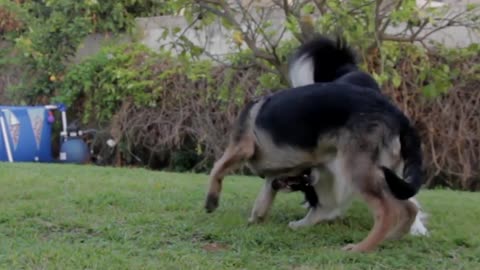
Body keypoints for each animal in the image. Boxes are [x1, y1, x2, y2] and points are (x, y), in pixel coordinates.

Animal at [204, 34, 426, 252]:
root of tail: (398, 116)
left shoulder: (241, 147)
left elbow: (217, 168)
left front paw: (211, 201)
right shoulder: (275, 175)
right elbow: (263, 198)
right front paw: (254, 221)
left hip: (356, 171)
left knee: (388, 211)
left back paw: (361, 247)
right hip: (386, 174)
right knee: (409, 207)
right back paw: (393, 237)